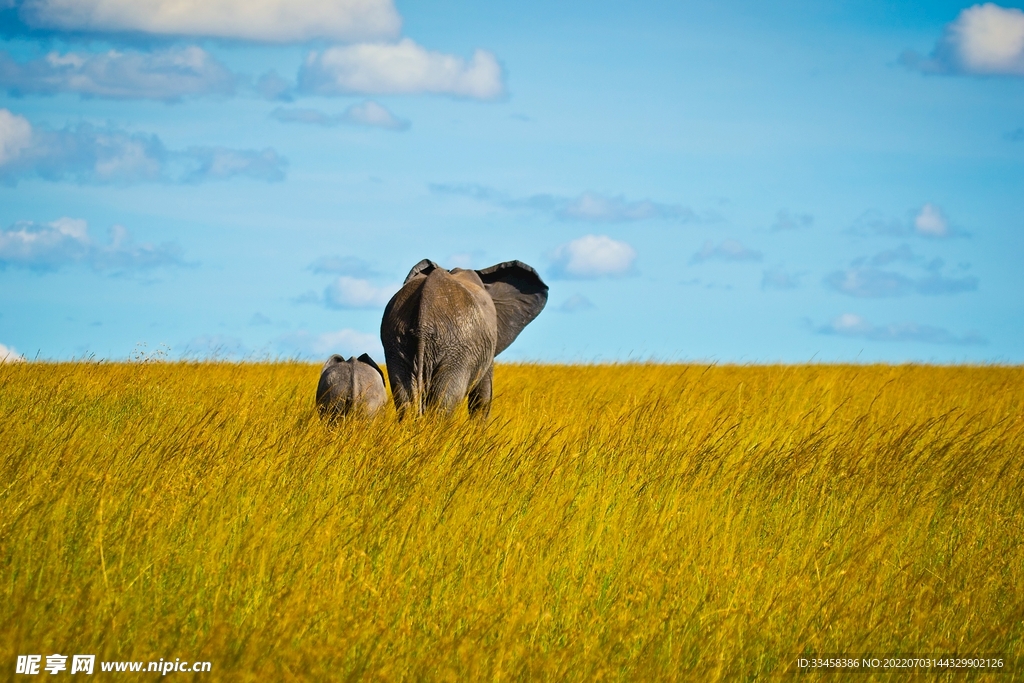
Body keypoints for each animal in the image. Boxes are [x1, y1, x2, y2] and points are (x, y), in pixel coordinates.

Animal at [380, 260, 548, 417]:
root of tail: (424, 322)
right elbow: (482, 397)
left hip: (397, 343)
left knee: (406, 399)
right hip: (458, 351)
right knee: (444, 401)